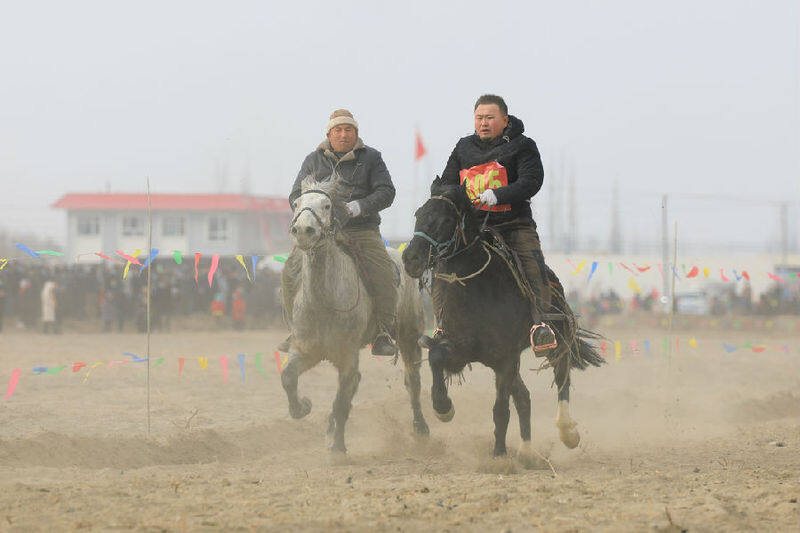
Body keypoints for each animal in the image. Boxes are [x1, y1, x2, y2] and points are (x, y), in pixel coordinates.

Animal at [282, 177, 432, 450]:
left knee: (413, 381)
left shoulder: (347, 355)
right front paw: (303, 407)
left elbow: (342, 400)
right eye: (297, 203)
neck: (323, 301)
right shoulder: (306, 350)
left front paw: (338, 449)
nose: (304, 230)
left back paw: (421, 427)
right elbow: (288, 377)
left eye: (327, 205)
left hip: (409, 336)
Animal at [404, 179, 604, 458]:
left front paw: (499, 456)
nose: (410, 258)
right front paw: (443, 407)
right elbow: (435, 356)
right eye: (418, 214)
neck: (477, 289)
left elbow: (500, 409)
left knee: (561, 377)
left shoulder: (506, 357)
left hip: (557, 340)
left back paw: (567, 432)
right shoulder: (461, 348)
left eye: (445, 220)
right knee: (524, 396)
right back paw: (527, 452)